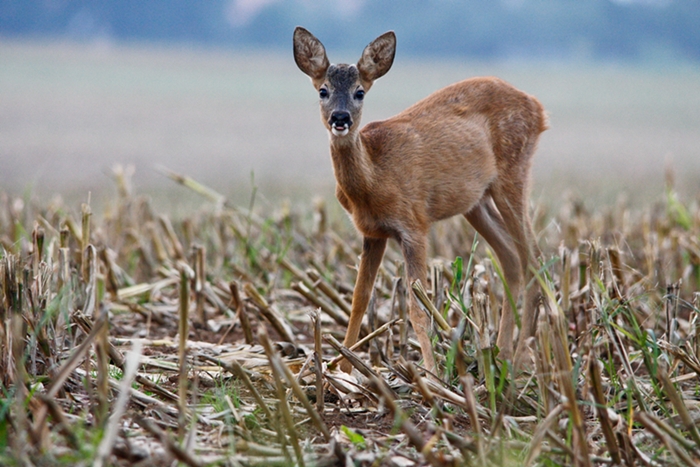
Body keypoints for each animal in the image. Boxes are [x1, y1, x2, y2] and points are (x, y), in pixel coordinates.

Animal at [292, 26, 548, 376]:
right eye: (323, 90)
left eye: (360, 92)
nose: (340, 118)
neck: (374, 180)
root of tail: (537, 107)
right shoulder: (371, 232)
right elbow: (359, 300)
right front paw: (342, 368)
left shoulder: (414, 225)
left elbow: (418, 307)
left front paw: (431, 373)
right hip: (475, 202)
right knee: (511, 257)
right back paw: (501, 354)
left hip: (513, 172)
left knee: (534, 258)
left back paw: (520, 359)